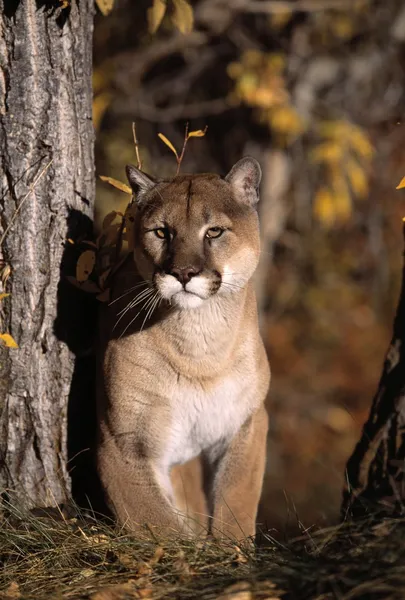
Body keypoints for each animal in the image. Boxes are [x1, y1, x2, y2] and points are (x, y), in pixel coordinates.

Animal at [96, 157, 270, 540]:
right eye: (162, 232)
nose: (184, 273)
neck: (199, 347)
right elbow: (159, 525)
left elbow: (236, 500)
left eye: (214, 232)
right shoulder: (122, 442)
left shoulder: (248, 420)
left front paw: (231, 550)